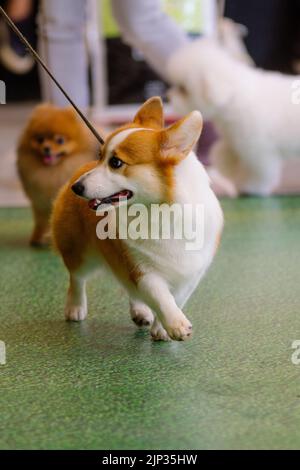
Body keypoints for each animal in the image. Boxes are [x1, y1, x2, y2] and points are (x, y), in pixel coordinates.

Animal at [17, 103, 99, 246]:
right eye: (40, 139)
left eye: (60, 140)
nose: (46, 148)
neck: (53, 172)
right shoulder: (40, 201)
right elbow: (41, 221)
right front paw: (37, 237)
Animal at [51, 98, 223, 342]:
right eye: (100, 156)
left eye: (115, 162)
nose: (77, 187)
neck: (160, 210)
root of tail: (79, 169)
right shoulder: (141, 267)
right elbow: (161, 296)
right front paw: (176, 324)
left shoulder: (192, 273)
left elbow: (177, 298)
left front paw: (162, 329)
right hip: (79, 252)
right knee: (77, 278)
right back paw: (75, 308)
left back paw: (140, 312)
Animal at [168, 37, 298, 196]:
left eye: (183, 89)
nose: (168, 96)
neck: (233, 97)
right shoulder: (235, 141)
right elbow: (223, 153)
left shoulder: (258, 149)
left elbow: (259, 171)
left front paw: (251, 186)